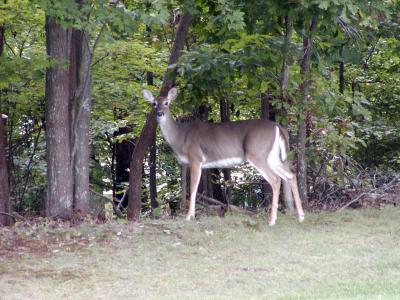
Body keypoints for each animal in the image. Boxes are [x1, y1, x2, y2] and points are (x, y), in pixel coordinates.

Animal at [145, 86, 304, 225]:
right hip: (272, 156)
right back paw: (300, 216)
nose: (159, 113)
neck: (180, 137)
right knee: (290, 174)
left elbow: (193, 188)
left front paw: (189, 216)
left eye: (167, 103)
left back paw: (272, 221)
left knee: (276, 179)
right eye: (154, 103)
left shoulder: (196, 158)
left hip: (257, 153)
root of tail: (278, 127)